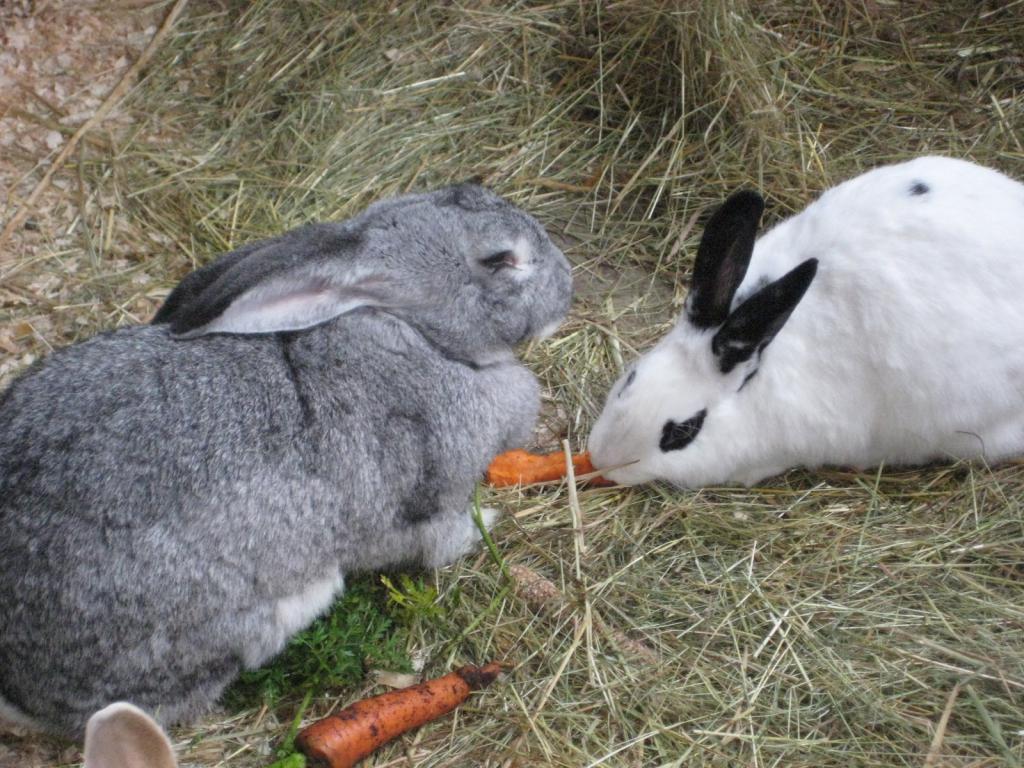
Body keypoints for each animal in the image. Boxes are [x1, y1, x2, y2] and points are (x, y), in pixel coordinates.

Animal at [0, 183, 577, 737]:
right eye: (500, 259)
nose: (567, 283)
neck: (412, 331)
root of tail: (18, 684)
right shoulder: (425, 508)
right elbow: (439, 539)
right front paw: (487, 523)